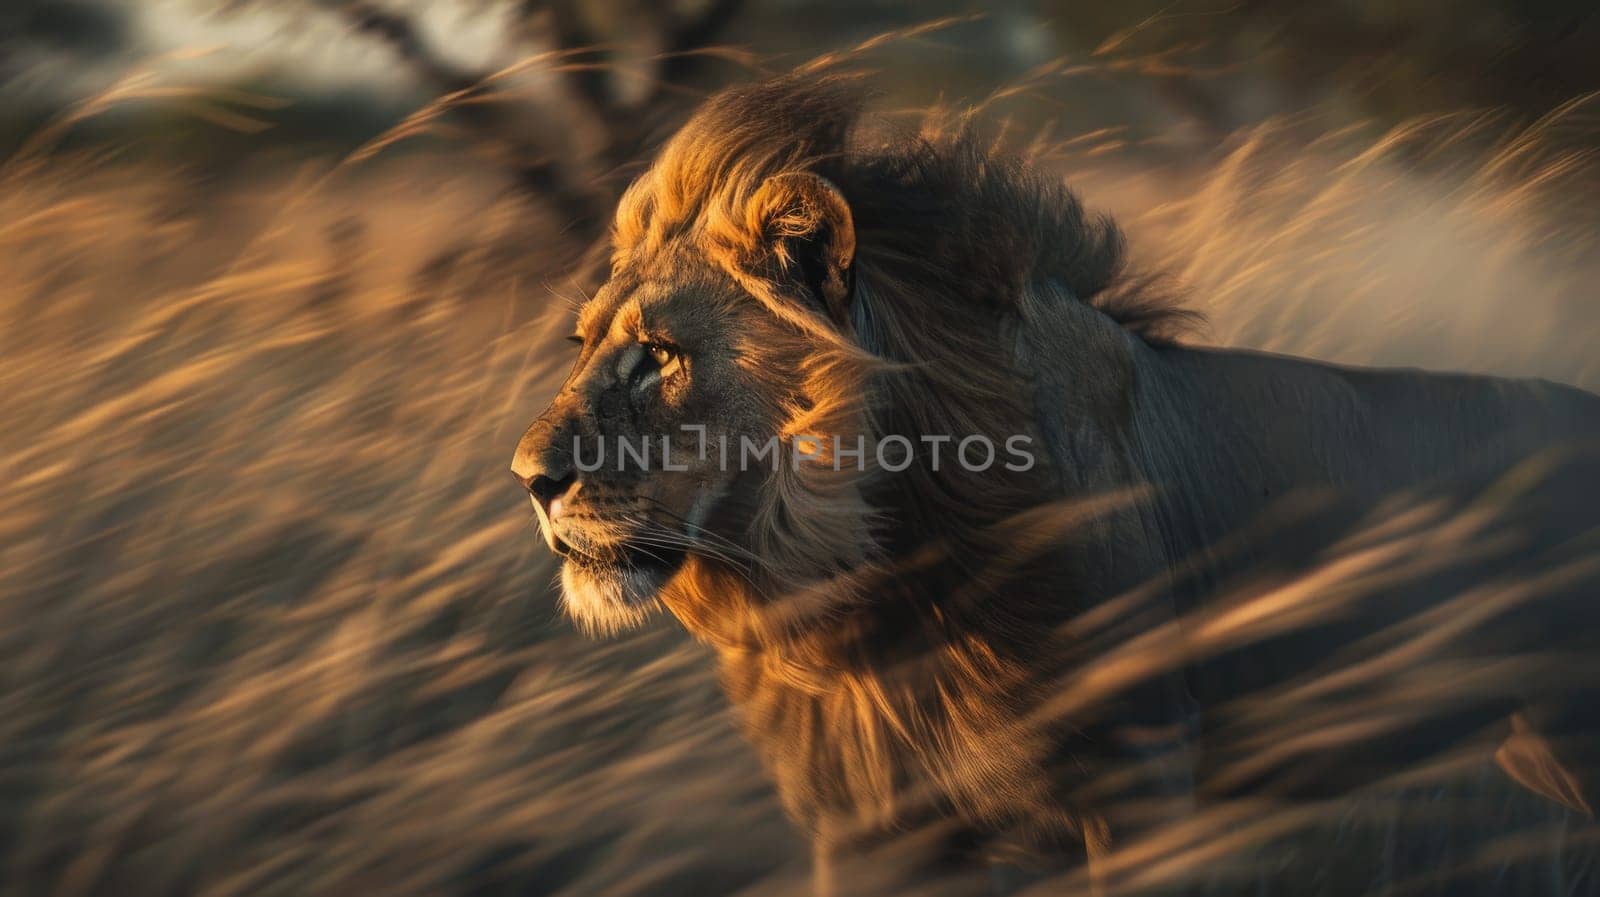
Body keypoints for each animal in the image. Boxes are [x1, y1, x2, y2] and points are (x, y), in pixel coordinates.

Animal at [508, 73, 1600, 889]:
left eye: (657, 357)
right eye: (579, 345)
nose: (527, 478)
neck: (877, 589)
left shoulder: (1139, 781)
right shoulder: (870, 828)